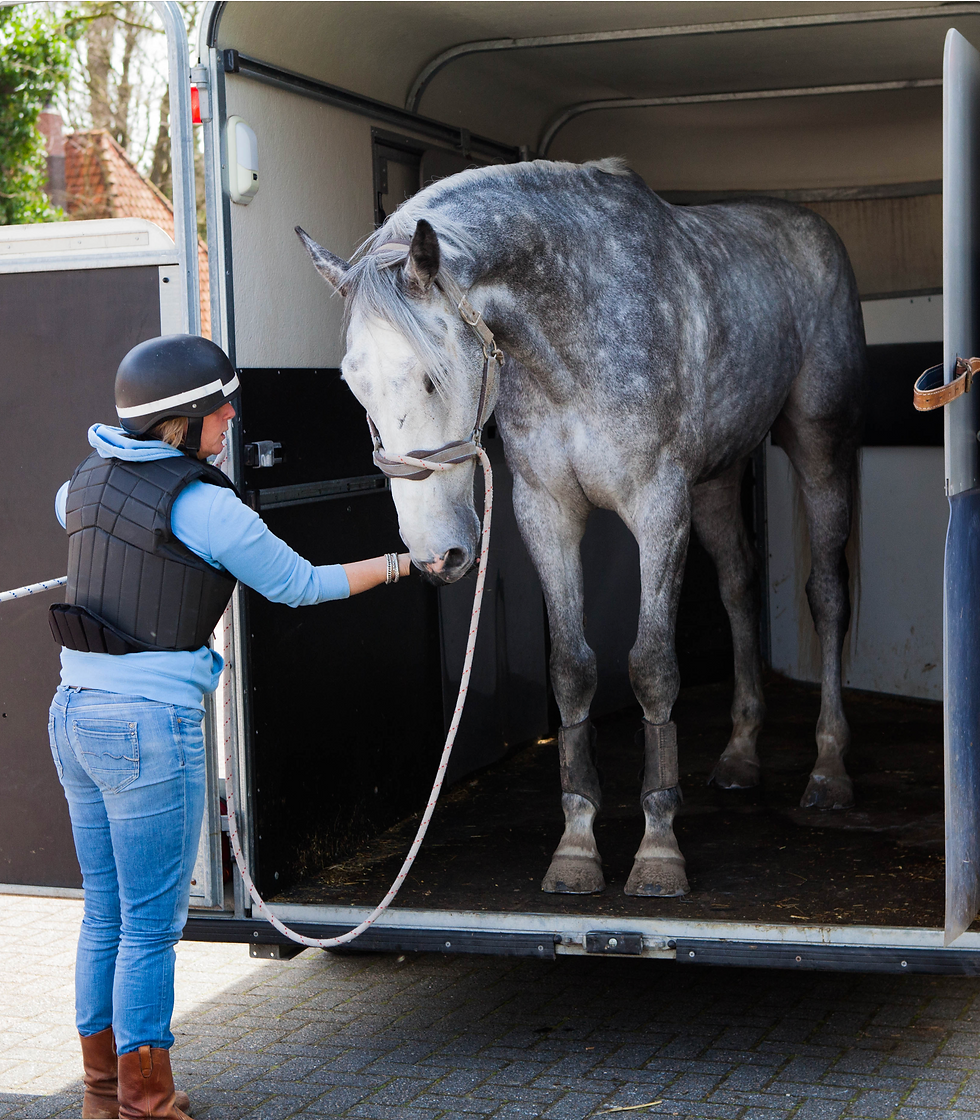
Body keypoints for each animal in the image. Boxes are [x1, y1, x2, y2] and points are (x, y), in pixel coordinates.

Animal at [297, 157, 867, 897]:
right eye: (351, 384)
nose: (437, 555)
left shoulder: (658, 506)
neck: (574, 326)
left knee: (827, 595)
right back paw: (741, 755)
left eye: (431, 377)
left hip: (818, 443)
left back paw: (829, 770)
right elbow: (572, 670)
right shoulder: (547, 511)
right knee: (740, 587)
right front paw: (576, 845)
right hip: (718, 476)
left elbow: (652, 668)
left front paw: (658, 848)